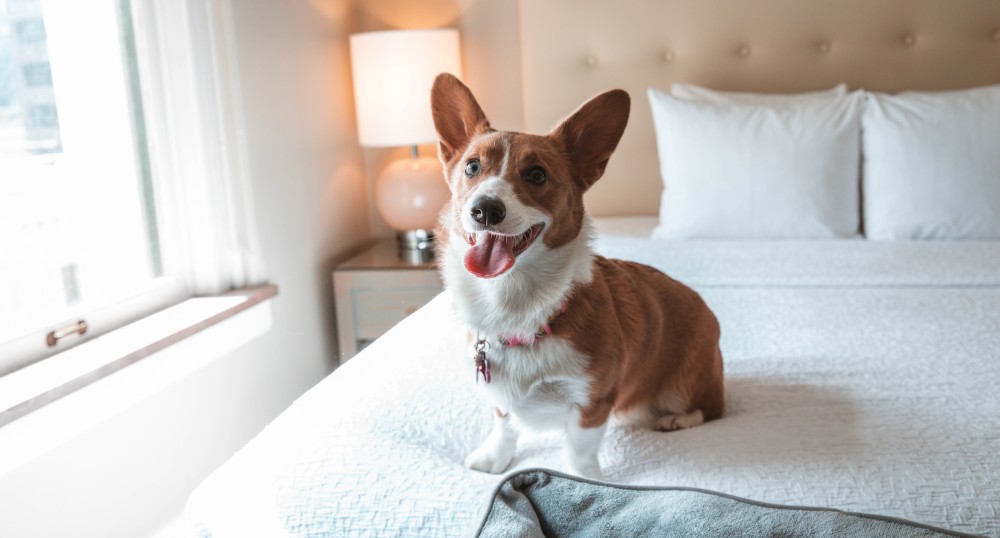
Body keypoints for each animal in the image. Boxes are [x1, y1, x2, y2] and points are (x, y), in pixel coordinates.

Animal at [430, 72, 728, 478]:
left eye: (536, 174)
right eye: (472, 168)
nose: (485, 209)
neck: (518, 306)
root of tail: (705, 307)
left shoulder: (593, 400)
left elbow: (579, 451)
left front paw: (586, 481)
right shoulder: (498, 394)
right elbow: (505, 425)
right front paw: (494, 459)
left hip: (687, 384)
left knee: (712, 409)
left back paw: (676, 420)